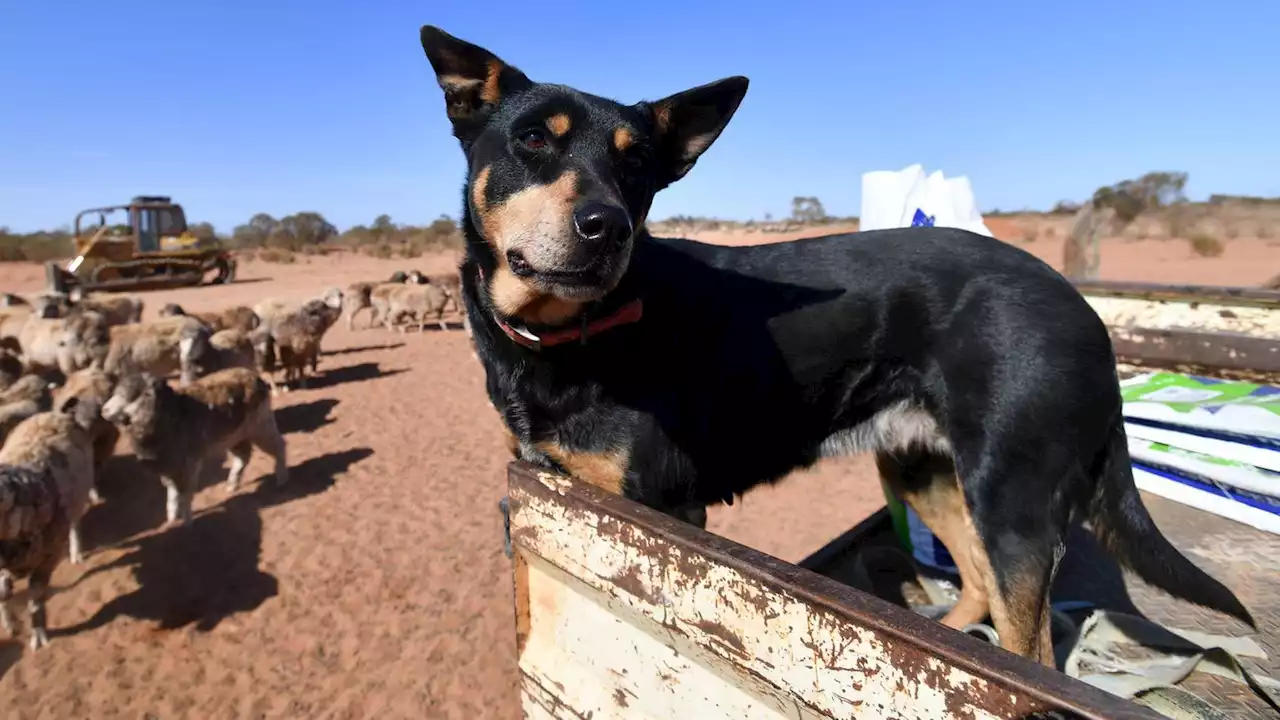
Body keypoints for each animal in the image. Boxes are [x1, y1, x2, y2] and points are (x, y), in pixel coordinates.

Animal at [417, 23, 1249, 661]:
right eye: (532, 139)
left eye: (638, 163)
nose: (607, 226)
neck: (573, 334)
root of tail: (1084, 309)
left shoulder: (664, 512)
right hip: (924, 469)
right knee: (979, 588)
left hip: (1013, 499)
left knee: (1032, 650)